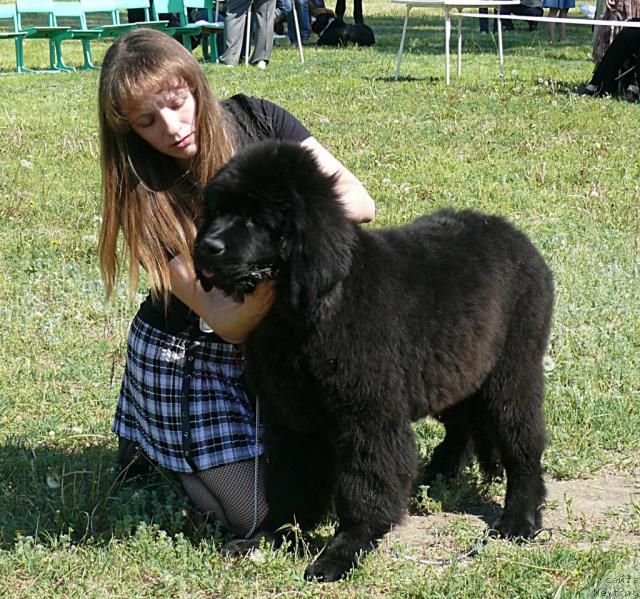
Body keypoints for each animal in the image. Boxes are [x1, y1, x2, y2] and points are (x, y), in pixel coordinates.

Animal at [194, 141, 556, 580]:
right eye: (216, 211)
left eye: (255, 218)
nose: (206, 247)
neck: (306, 312)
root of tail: (517, 237)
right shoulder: (293, 417)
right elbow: (290, 481)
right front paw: (268, 537)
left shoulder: (368, 415)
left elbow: (364, 488)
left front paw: (343, 552)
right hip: (456, 369)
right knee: (461, 425)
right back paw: (438, 474)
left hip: (512, 372)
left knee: (523, 446)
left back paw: (520, 520)